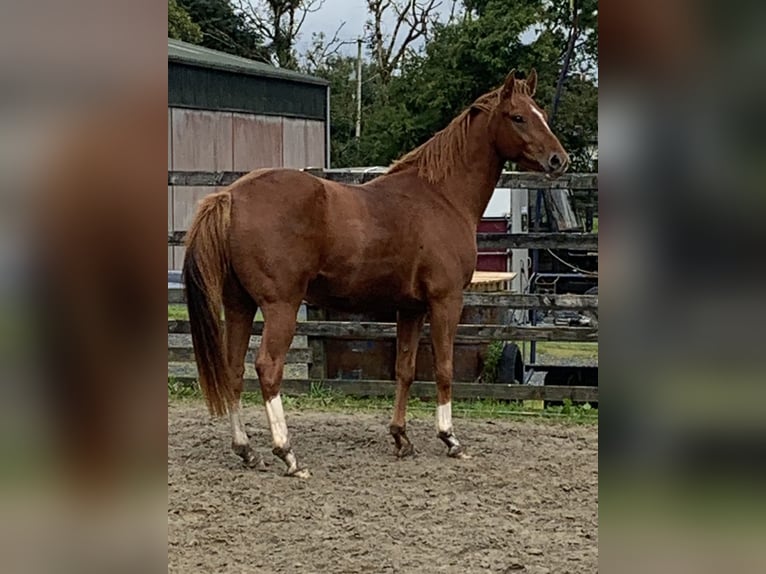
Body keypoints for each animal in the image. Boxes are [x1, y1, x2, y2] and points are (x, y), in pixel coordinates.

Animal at [184, 70, 568, 480]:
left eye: (543, 113)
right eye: (518, 117)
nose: (559, 159)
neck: (441, 196)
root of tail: (231, 196)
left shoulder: (410, 308)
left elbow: (405, 369)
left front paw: (401, 437)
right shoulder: (446, 301)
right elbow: (445, 368)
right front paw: (450, 439)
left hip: (239, 305)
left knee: (233, 371)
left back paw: (246, 450)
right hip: (280, 307)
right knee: (267, 369)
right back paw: (287, 454)